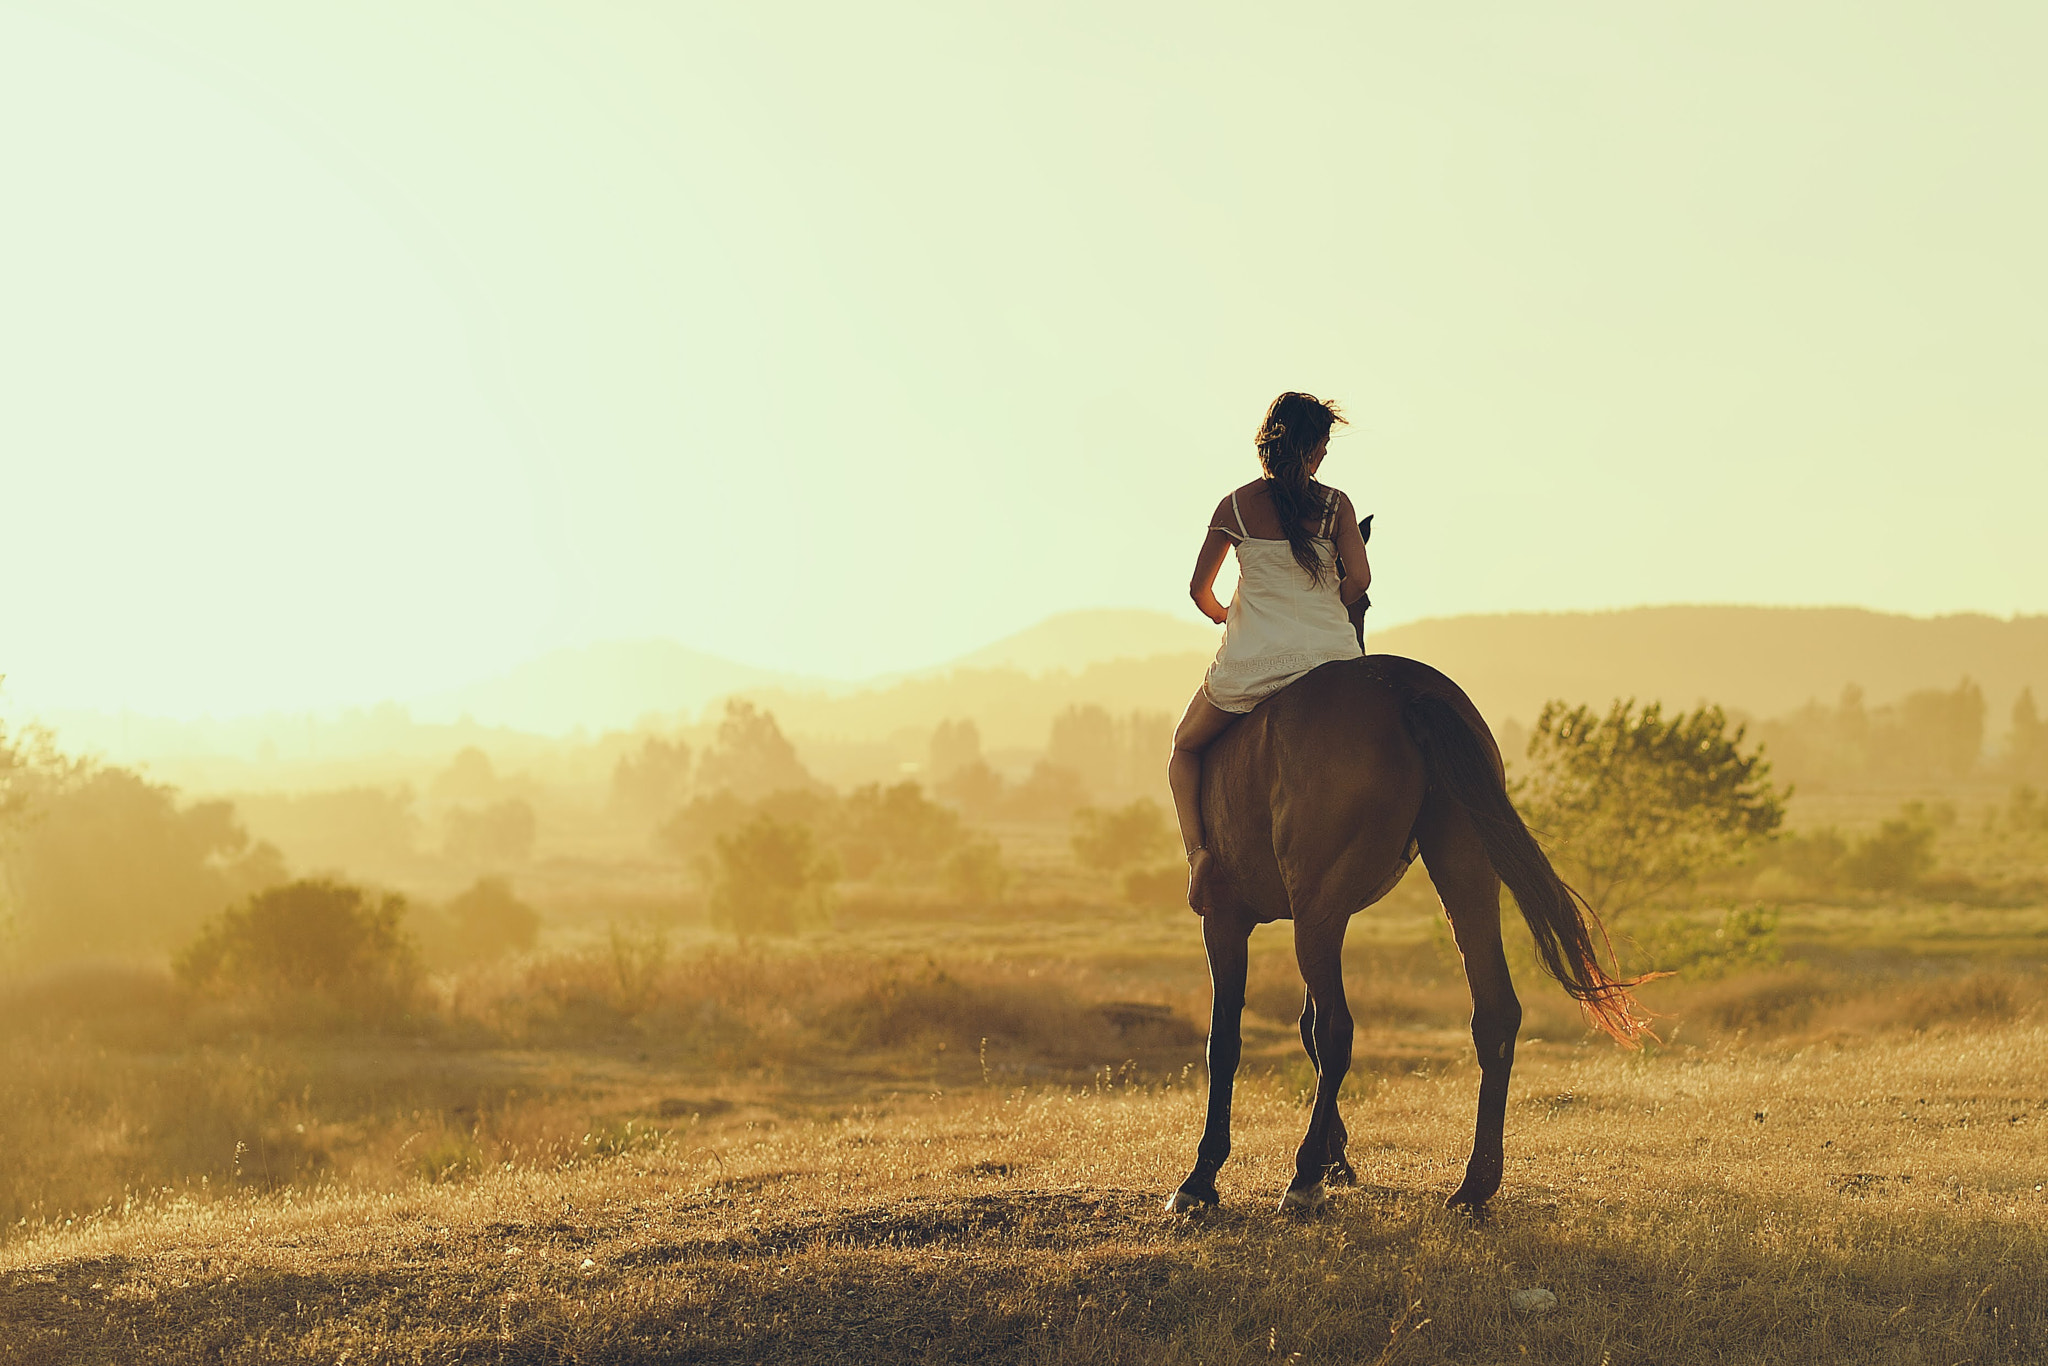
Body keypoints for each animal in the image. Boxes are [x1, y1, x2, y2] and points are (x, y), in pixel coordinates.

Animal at [1171, 655, 1646, 1220]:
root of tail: (1403, 690)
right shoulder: (1321, 917)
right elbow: (1302, 1026)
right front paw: (1337, 1159)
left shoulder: (1227, 919)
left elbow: (1227, 1041)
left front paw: (1203, 1177)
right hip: (1461, 875)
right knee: (1494, 1014)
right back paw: (1474, 1184)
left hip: (1317, 910)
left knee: (1337, 1031)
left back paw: (1303, 1178)